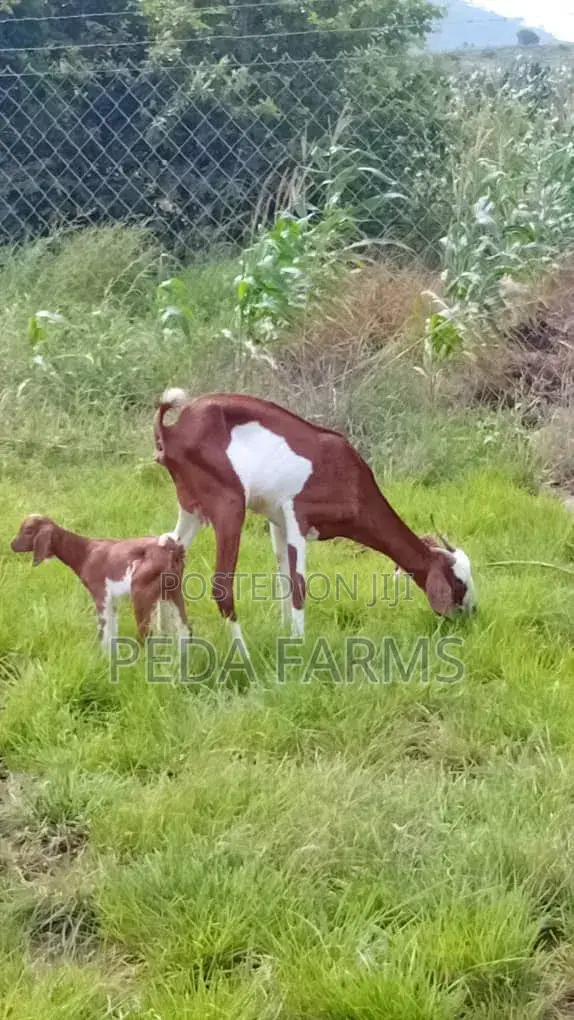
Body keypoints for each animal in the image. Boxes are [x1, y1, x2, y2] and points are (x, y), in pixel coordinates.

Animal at [11, 515, 189, 651]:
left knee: (146, 634)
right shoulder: (111, 600)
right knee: (184, 629)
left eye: (28, 530)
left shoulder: (100, 594)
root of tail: (173, 549)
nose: (12, 544)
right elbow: (112, 628)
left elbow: (103, 630)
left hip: (142, 592)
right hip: (172, 591)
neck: (85, 553)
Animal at [154, 389, 477, 656]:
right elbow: (298, 586)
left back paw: (168, 645)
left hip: (192, 507)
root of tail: (172, 430)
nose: (472, 613)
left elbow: (283, 579)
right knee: (221, 586)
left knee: (167, 552)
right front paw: (298, 647)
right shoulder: (297, 515)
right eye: (458, 580)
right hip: (229, 504)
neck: (351, 477)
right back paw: (243, 658)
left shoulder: (277, 521)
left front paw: (285, 634)